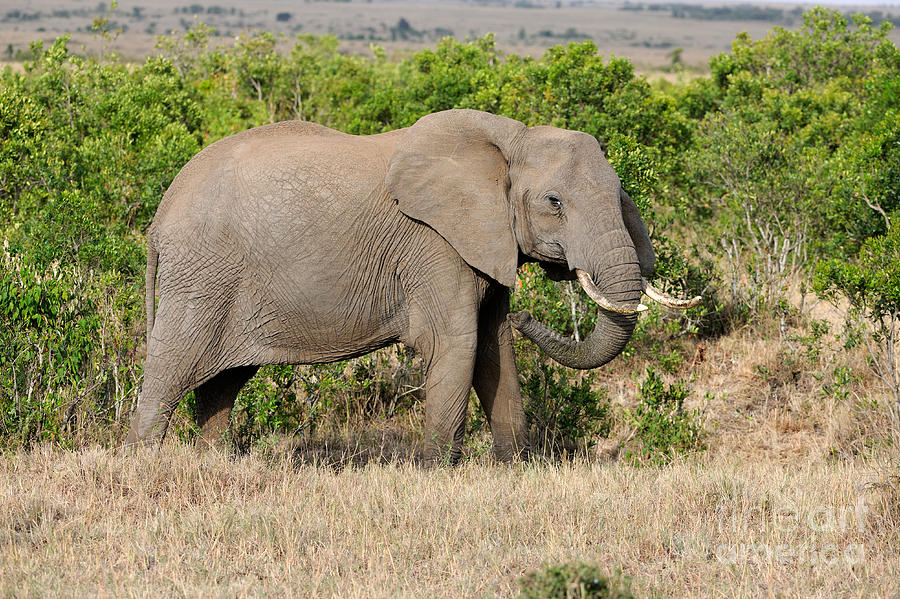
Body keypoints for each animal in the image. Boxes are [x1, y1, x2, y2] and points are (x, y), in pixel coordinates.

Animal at [123, 109, 700, 464]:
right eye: (554, 203)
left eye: (620, 194)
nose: (530, 317)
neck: (508, 139)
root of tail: (158, 218)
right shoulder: (436, 244)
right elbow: (457, 344)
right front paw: (435, 474)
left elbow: (494, 350)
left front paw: (517, 467)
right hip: (201, 276)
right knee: (171, 370)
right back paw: (141, 465)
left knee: (223, 383)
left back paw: (215, 463)